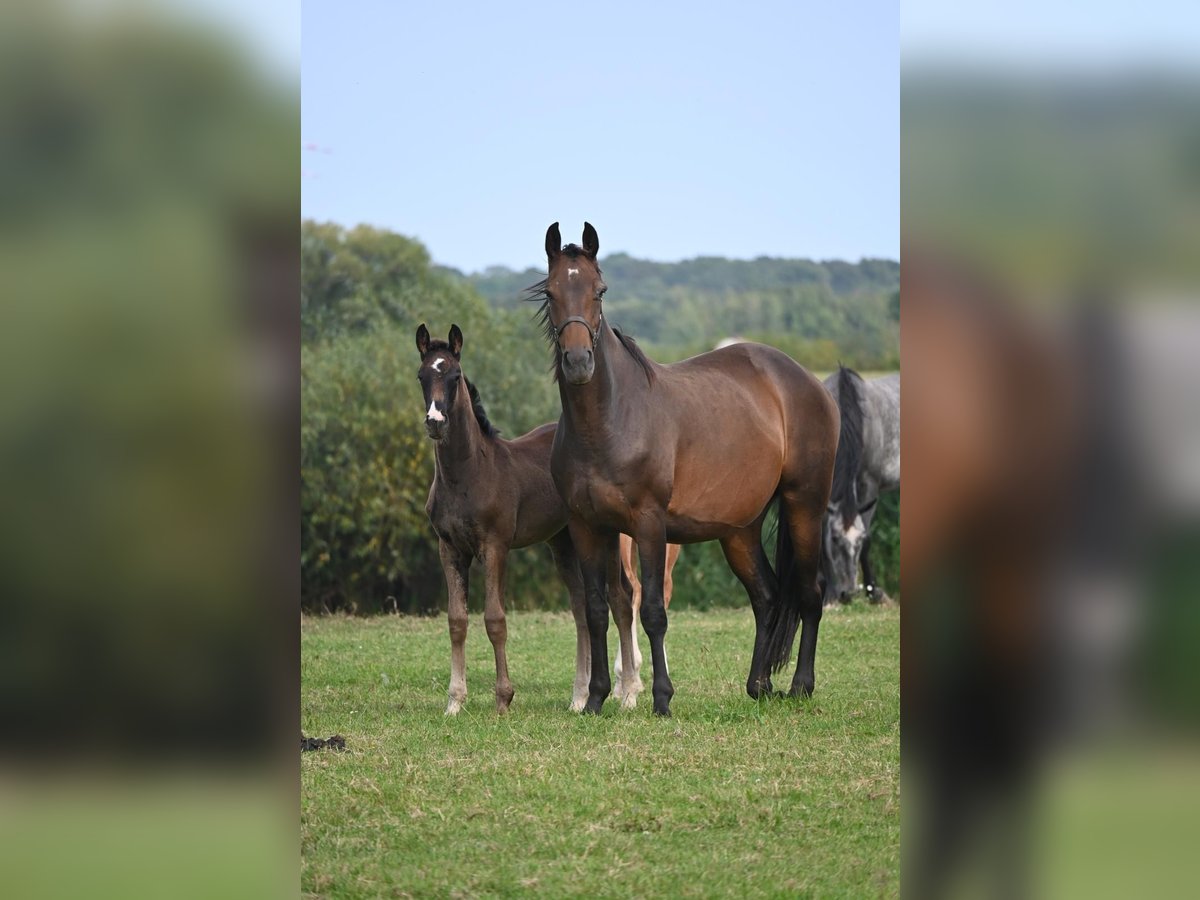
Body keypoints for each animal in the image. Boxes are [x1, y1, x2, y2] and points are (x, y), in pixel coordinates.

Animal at [415, 328, 643, 715]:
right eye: (421, 376)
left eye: (455, 376)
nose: (435, 422)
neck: (468, 474)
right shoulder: (450, 548)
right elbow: (456, 620)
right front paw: (455, 702)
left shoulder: (495, 546)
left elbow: (495, 619)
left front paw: (503, 699)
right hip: (562, 542)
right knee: (580, 607)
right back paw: (579, 697)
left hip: (606, 535)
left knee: (621, 598)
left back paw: (628, 694)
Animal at [530, 225, 840, 720]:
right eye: (551, 291)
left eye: (600, 290)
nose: (578, 363)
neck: (610, 421)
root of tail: (807, 381)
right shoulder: (588, 527)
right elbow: (597, 610)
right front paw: (596, 698)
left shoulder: (649, 525)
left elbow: (653, 611)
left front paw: (661, 698)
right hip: (740, 530)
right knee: (767, 596)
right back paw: (759, 685)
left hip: (804, 505)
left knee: (810, 591)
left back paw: (800, 686)